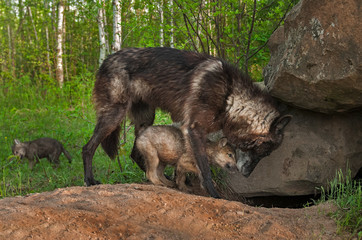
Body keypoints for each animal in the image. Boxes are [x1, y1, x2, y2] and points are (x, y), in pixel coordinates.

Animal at [82, 47, 292, 199]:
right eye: (264, 152)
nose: (247, 174)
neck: (230, 96)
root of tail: (106, 60)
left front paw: (182, 181)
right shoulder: (193, 129)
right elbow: (205, 168)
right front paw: (213, 194)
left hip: (145, 120)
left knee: (135, 154)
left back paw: (163, 180)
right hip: (114, 116)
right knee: (88, 148)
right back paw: (90, 180)